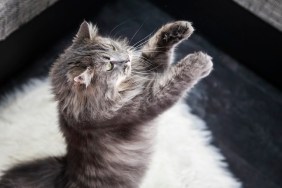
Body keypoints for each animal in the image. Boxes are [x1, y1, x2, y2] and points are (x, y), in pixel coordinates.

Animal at [0, 20, 212, 188]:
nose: (127, 59)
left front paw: (179, 28)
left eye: (113, 47)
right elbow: (174, 80)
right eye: (109, 66)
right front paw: (200, 62)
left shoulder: (148, 69)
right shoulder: (144, 103)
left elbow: (156, 47)